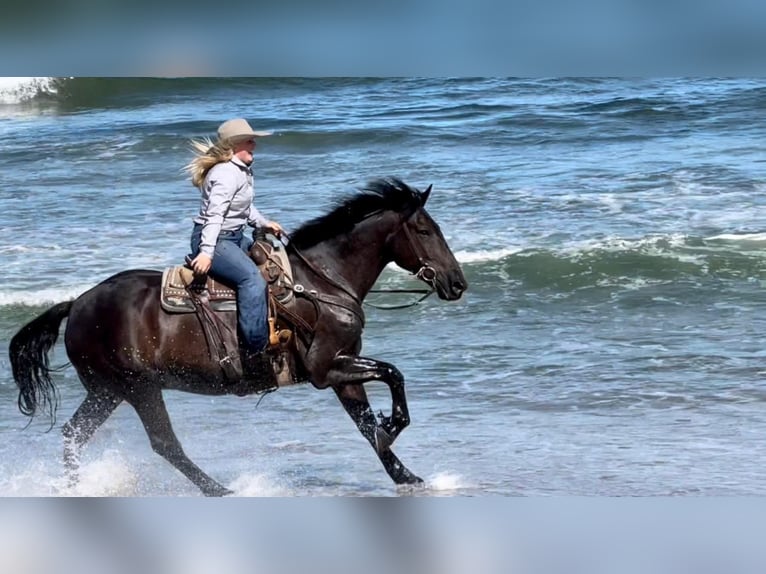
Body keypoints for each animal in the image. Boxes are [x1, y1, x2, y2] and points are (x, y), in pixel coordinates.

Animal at [9, 178, 468, 498]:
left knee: (73, 435)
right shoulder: (326, 368)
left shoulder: (343, 371)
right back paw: (219, 489)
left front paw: (407, 474)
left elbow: (366, 423)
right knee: (164, 444)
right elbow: (392, 374)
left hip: (107, 390)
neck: (321, 284)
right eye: (425, 231)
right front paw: (394, 425)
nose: (458, 283)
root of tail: (76, 304)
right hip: (137, 388)